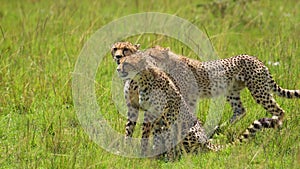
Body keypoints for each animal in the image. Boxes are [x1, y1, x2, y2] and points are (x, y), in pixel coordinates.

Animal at [116, 52, 278, 161]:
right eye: (120, 61)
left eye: (127, 63)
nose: (117, 68)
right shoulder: (152, 114)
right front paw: (152, 155)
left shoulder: (167, 114)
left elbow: (162, 137)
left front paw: (165, 158)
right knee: (240, 110)